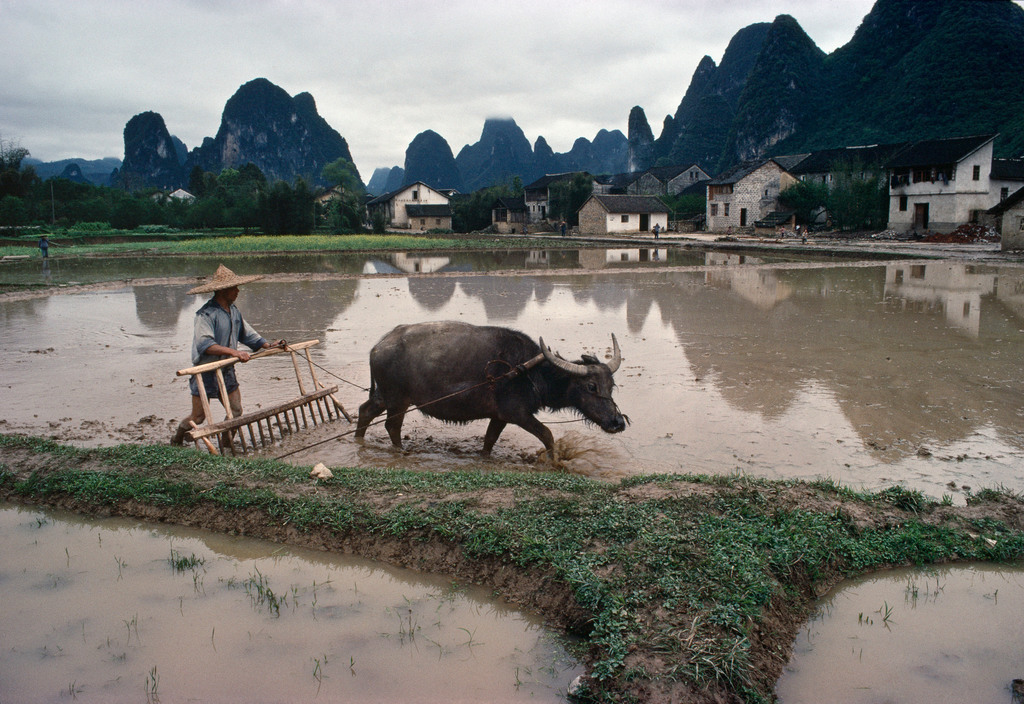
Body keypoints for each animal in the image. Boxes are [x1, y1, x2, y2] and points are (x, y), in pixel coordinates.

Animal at [356, 321, 626, 456]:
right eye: (591, 386)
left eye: (611, 386)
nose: (617, 422)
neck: (528, 370)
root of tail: (377, 347)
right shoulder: (517, 414)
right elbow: (547, 435)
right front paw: (555, 461)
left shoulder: (499, 416)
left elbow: (489, 440)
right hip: (398, 400)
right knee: (392, 426)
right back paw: (400, 451)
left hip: (384, 396)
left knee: (365, 410)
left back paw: (359, 440)